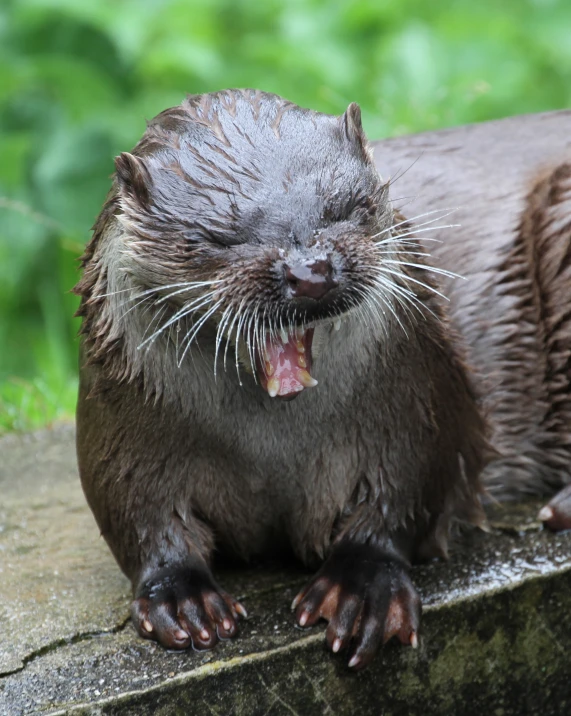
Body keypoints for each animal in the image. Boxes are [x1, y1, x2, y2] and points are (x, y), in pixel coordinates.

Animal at [75, 91, 571, 672]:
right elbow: (136, 512)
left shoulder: (414, 403)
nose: (309, 268)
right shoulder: (127, 423)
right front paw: (180, 597)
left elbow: (406, 492)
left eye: (346, 207)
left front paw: (361, 589)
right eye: (218, 238)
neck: (269, 451)